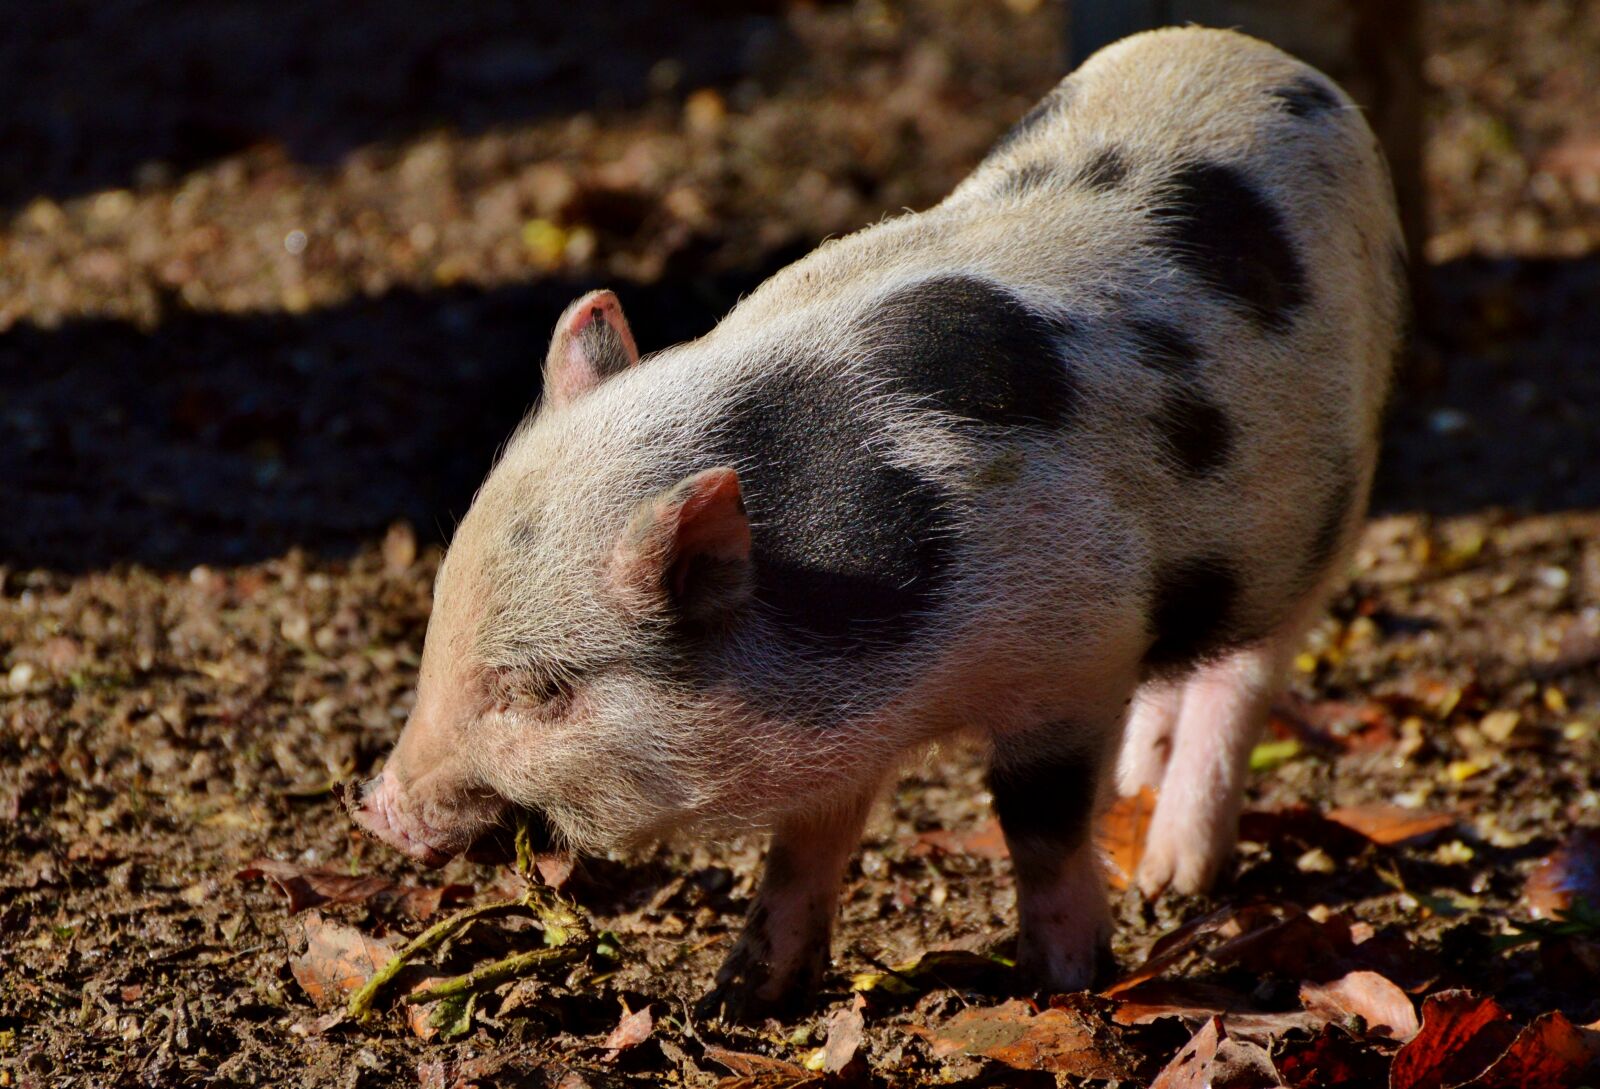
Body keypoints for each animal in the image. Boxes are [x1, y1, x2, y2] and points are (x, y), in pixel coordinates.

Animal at [350, 26, 1406, 1018]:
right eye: (439, 625)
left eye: (540, 690)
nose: (378, 811)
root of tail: (1270, 60)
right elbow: (805, 840)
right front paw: (743, 995)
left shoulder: (1078, 649)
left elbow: (1038, 819)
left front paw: (1065, 978)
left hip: (1319, 510)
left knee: (1246, 670)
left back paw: (1171, 874)